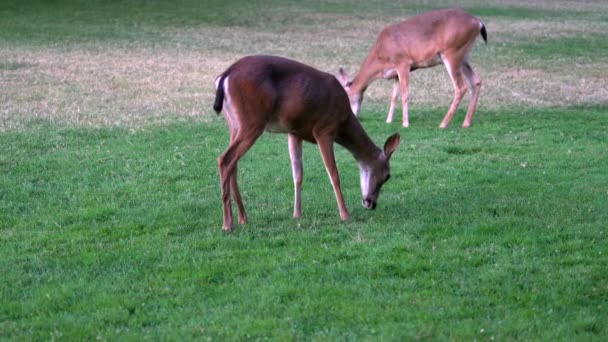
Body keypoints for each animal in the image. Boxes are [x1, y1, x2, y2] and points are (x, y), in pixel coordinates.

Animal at [211, 54, 402, 231]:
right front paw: (345, 215)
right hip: (252, 121)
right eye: (387, 176)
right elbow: (334, 174)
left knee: (233, 164)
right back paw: (227, 224)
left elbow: (297, 175)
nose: (371, 203)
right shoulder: (324, 130)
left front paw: (297, 214)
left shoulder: (295, 132)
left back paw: (243, 218)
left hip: (234, 124)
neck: (344, 121)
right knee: (225, 159)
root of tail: (225, 75)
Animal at [340, 8, 486, 128]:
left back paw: (443, 124)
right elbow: (394, 96)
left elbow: (405, 94)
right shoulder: (395, 74)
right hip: (464, 56)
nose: (352, 117)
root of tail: (477, 23)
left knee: (461, 87)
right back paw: (466, 123)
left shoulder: (403, 63)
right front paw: (388, 121)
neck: (380, 56)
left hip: (452, 53)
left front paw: (405, 123)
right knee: (476, 81)